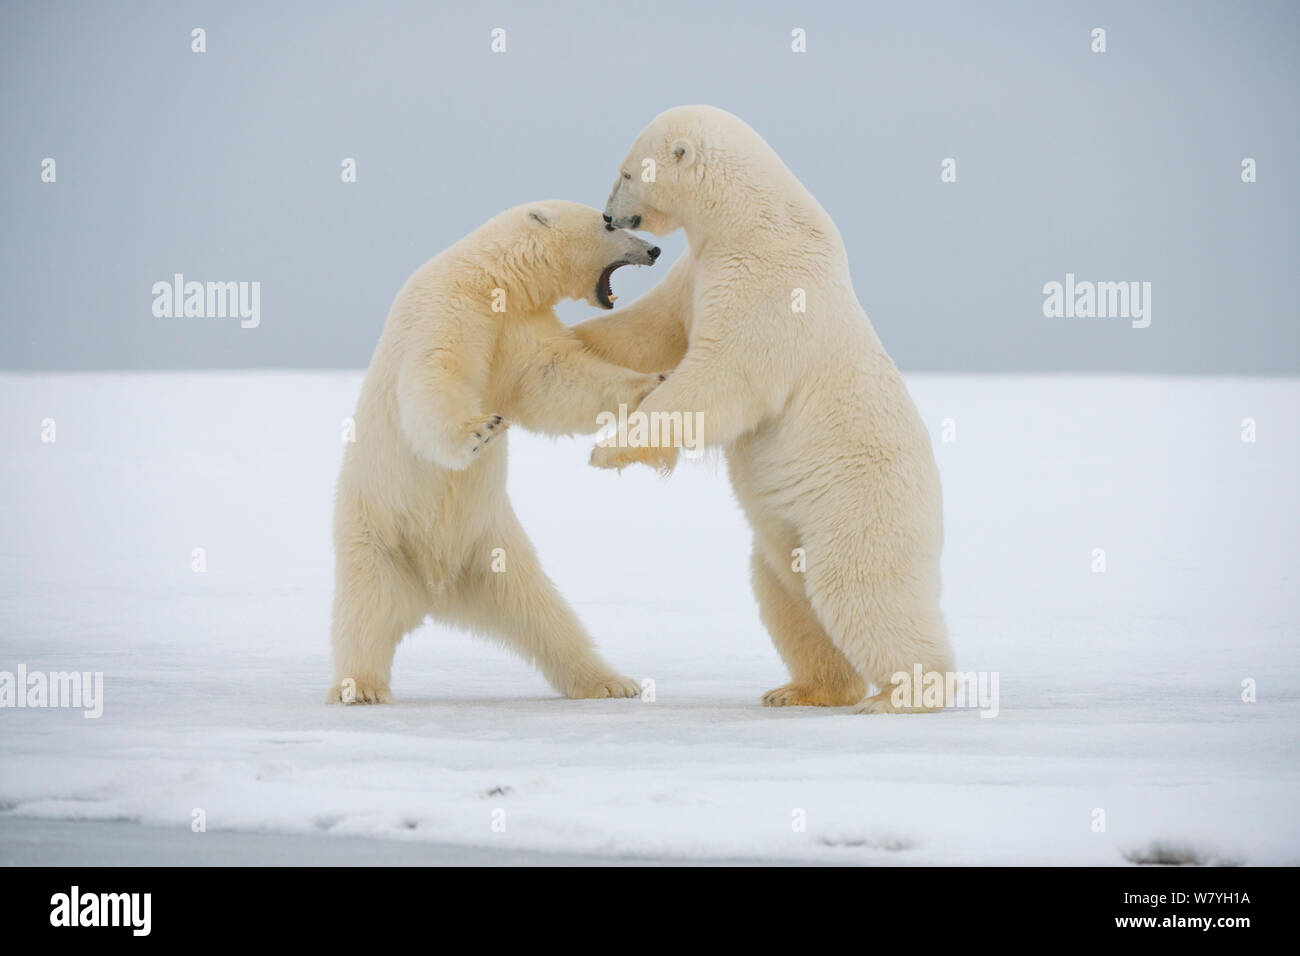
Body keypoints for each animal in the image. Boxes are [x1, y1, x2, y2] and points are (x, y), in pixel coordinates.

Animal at [330, 200, 665, 702]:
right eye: (608, 223)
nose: (655, 249)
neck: (491, 278)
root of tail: (435, 589)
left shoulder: (517, 327)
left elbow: (554, 378)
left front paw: (653, 381)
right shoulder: (447, 309)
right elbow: (434, 373)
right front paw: (480, 429)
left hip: (490, 551)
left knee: (542, 612)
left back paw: (609, 682)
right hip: (377, 533)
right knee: (364, 612)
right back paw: (361, 687)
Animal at [579, 108, 956, 712]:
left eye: (627, 172)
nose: (610, 216)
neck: (754, 221)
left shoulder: (770, 286)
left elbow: (722, 376)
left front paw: (609, 449)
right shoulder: (699, 269)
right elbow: (651, 330)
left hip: (860, 509)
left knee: (863, 591)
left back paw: (903, 694)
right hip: (783, 539)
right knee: (786, 598)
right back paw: (803, 689)